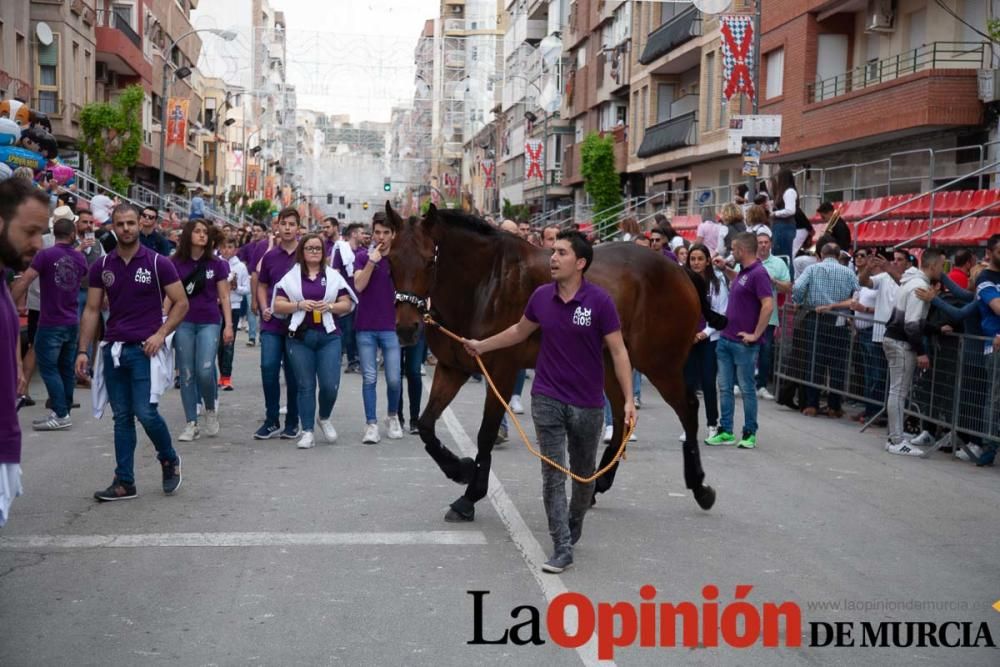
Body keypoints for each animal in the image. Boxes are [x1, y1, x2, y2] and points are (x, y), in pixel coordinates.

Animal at [382, 201, 720, 524]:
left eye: (430, 260)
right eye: (391, 261)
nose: (406, 328)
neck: (483, 283)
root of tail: (680, 270)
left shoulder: (501, 372)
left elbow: (486, 433)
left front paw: (470, 495)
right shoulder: (453, 369)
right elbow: (426, 425)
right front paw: (460, 469)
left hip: (661, 365)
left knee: (688, 408)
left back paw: (700, 487)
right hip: (613, 365)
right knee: (624, 415)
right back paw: (597, 485)